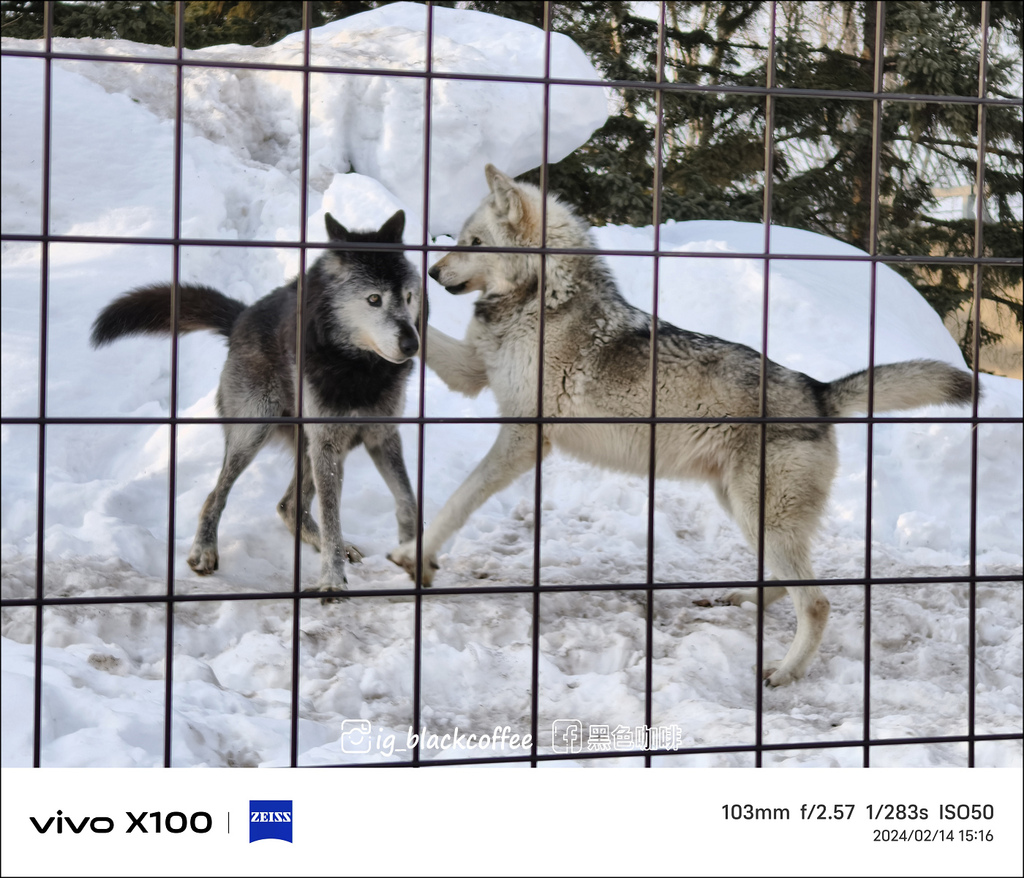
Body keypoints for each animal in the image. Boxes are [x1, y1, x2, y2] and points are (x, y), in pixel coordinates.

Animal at [90, 210, 419, 594]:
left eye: (409, 296)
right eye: (373, 299)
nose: (412, 344)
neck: (359, 369)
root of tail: (240, 319)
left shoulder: (382, 437)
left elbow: (407, 501)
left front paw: (413, 557)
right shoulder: (327, 442)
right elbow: (332, 517)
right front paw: (331, 581)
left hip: (323, 447)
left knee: (289, 506)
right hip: (256, 432)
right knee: (216, 495)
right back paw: (204, 550)